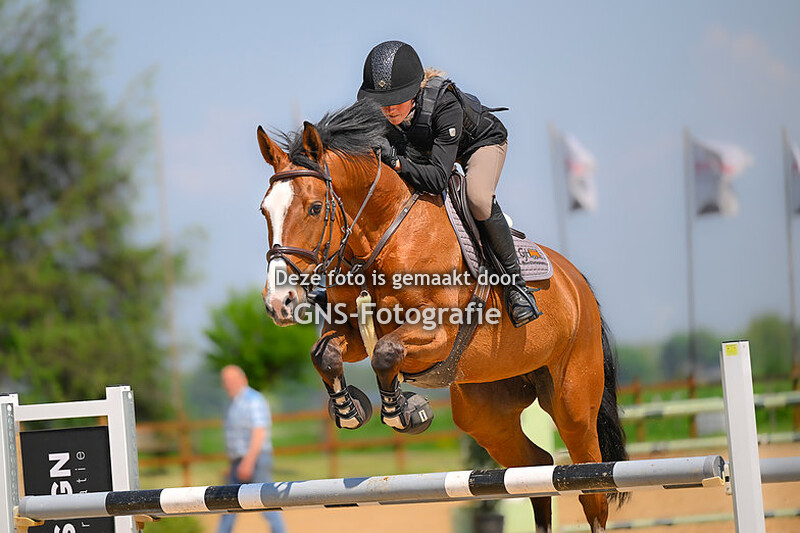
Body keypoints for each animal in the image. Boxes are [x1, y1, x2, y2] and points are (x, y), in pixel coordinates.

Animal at [256, 100, 626, 533]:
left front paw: (404, 412)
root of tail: (578, 284)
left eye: (315, 208)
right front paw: (350, 411)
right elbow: (326, 355)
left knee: (591, 486)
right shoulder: (349, 329)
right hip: (485, 412)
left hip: (572, 402)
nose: (278, 302)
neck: (381, 237)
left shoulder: (435, 334)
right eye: (265, 211)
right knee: (536, 469)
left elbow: (386, 353)